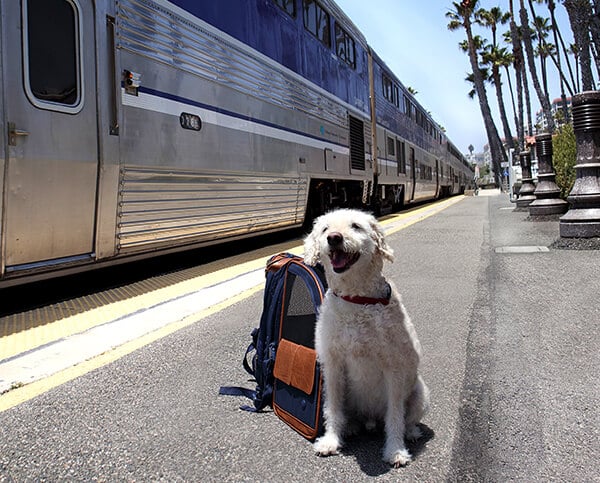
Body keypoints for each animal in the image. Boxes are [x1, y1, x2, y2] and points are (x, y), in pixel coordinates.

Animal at [304, 208, 426, 468]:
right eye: (325, 229)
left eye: (356, 226)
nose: (334, 238)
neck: (357, 300)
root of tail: (370, 420)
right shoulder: (333, 366)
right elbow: (333, 410)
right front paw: (330, 441)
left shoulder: (394, 369)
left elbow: (395, 417)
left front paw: (395, 450)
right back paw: (351, 428)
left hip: (421, 393)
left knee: (408, 419)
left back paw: (411, 433)